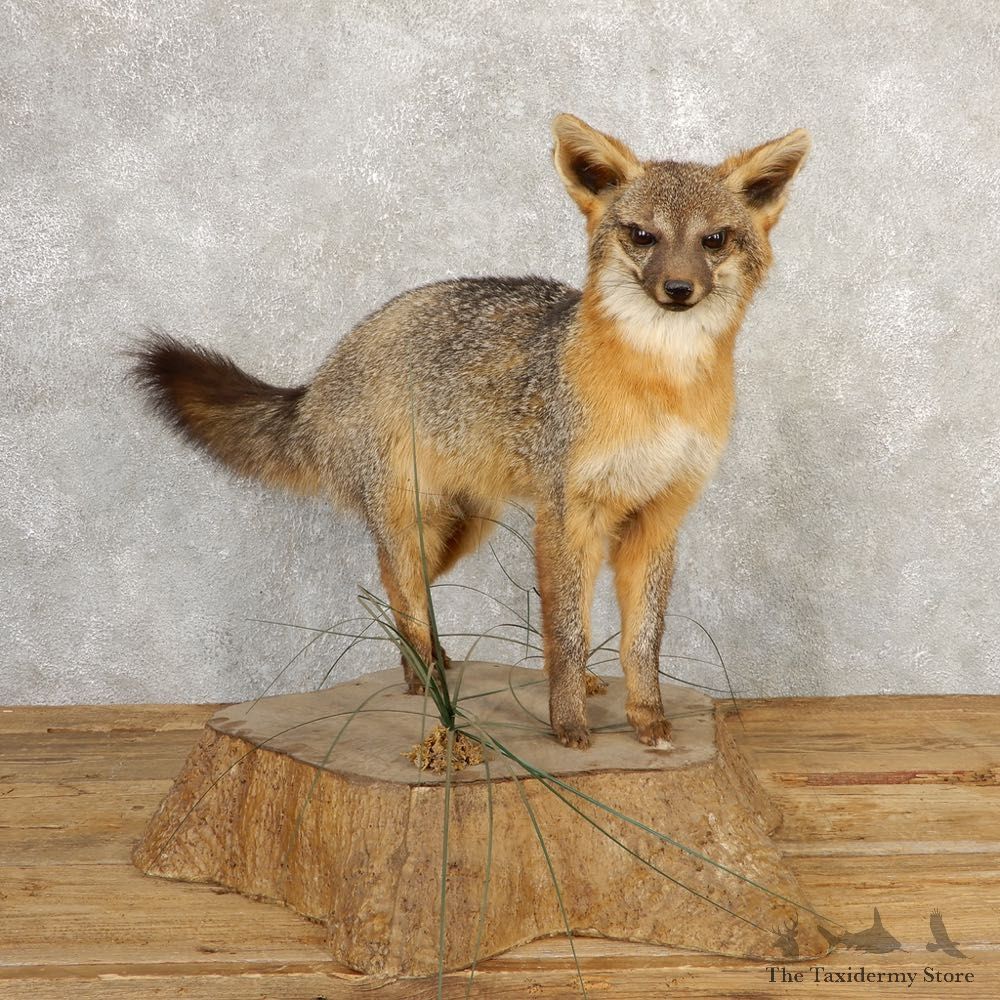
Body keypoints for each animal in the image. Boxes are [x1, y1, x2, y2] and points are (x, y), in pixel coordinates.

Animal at [129, 114, 809, 750]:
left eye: (714, 240)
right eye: (644, 236)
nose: (678, 289)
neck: (661, 386)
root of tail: (323, 375)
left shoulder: (658, 516)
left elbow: (641, 642)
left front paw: (647, 721)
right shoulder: (566, 516)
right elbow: (567, 631)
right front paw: (568, 725)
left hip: (461, 527)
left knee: (399, 596)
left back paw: (434, 674)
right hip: (415, 522)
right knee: (398, 594)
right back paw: (430, 687)